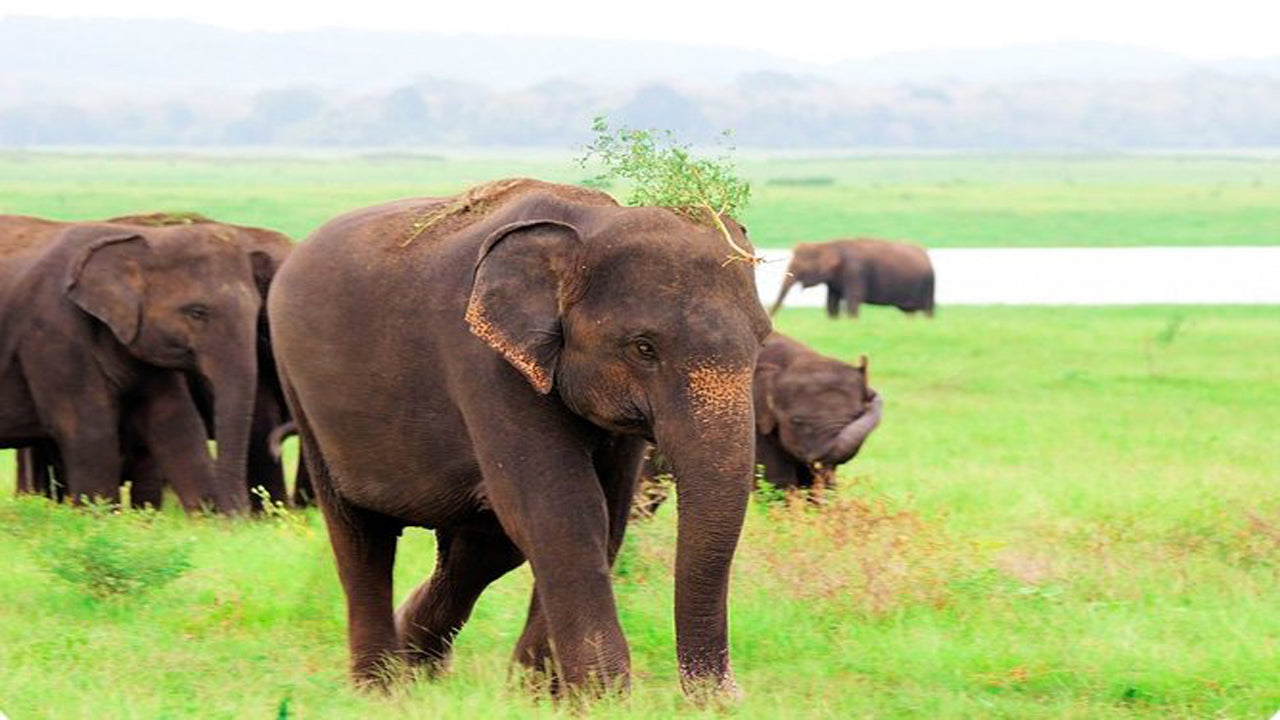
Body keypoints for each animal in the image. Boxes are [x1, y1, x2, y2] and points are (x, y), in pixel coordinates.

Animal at [5, 212, 299, 509]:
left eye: (258, 314)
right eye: (197, 312)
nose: (235, 515)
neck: (145, 240)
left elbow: (175, 422)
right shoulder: (54, 332)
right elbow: (89, 430)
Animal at [268, 178, 768, 696]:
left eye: (763, 340)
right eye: (644, 348)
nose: (725, 700)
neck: (588, 227)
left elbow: (607, 513)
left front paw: (537, 694)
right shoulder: (486, 363)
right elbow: (562, 511)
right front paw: (600, 697)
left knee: (480, 548)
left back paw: (418, 667)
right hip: (301, 391)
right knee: (361, 537)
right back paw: (382, 688)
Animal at [762, 238, 936, 316]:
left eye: (800, 267)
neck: (829, 245)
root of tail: (928, 257)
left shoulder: (855, 272)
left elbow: (853, 299)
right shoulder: (834, 281)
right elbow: (831, 303)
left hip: (927, 284)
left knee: (927, 310)